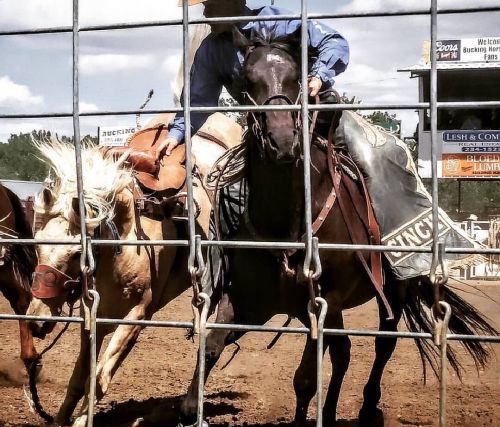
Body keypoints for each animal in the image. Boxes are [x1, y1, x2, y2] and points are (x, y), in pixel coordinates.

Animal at [24, 139, 217, 426]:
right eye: (37, 244)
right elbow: (79, 377)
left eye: (77, 253)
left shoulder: (138, 316)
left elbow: (100, 378)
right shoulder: (93, 315)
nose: (37, 321)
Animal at [182, 30, 498, 427]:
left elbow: (304, 379)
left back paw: (367, 406)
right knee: (343, 351)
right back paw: (331, 411)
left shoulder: (324, 300)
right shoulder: (247, 300)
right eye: (247, 80)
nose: (282, 140)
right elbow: (210, 346)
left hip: (393, 291)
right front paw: (191, 408)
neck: (288, 222)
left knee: (383, 343)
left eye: (297, 78)